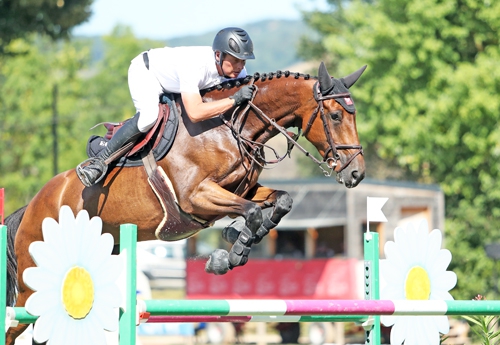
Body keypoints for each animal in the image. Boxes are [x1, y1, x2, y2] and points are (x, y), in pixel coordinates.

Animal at [4, 60, 368, 342]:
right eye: (336, 116)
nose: (357, 174)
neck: (230, 128)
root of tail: (30, 207)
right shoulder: (195, 199)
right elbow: (251, 213)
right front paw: (230, 254)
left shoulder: (242, 189)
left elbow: (281, 203)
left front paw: (233, 243)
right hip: (31, 283)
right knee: (14, 324)